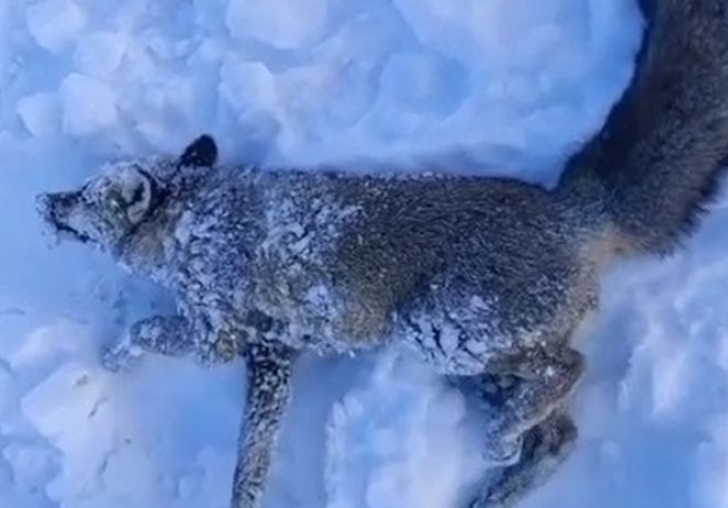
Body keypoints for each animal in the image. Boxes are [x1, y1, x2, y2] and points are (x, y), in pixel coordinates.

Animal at [37, 0, 728, 506]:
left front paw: (115, 356)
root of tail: (573, 212)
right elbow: (250, 462)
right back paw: (496, 488)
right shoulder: (273, 357)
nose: (44, 200)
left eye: (85, 197)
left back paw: (500, 443)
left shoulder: (222, 338)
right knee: (560, 434)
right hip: (468, 362)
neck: (194, 226)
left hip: (442, 333)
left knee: (569, 371)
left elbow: (148, 330)